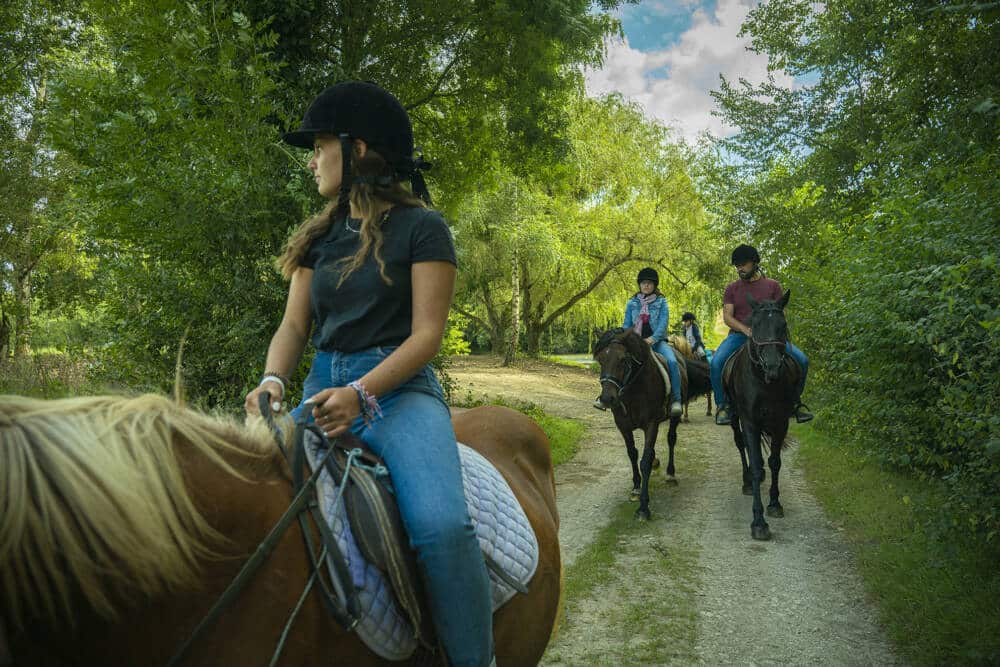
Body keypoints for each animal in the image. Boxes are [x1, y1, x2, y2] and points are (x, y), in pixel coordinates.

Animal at [592, 328, 688, 520]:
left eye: (623, 360)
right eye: (600, 360)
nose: (607, 399)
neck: (633, 390)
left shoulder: (651, 425)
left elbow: (644, 461)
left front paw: (644, 507)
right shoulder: (623, 425)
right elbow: (633, 454)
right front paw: (636, 488)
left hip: (673, 418)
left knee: (671, 439)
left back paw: (670, 474)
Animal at [724, 292, 800, 544]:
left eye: (782, 325)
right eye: (755, 325)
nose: (773, 366)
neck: (763, 382)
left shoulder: (781, 422)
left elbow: (775, 462)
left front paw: (775, 503)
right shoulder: (749, 421)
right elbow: (756, 464)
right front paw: (758, 522)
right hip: (735, 417)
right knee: (742, 445)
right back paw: (747, 481)